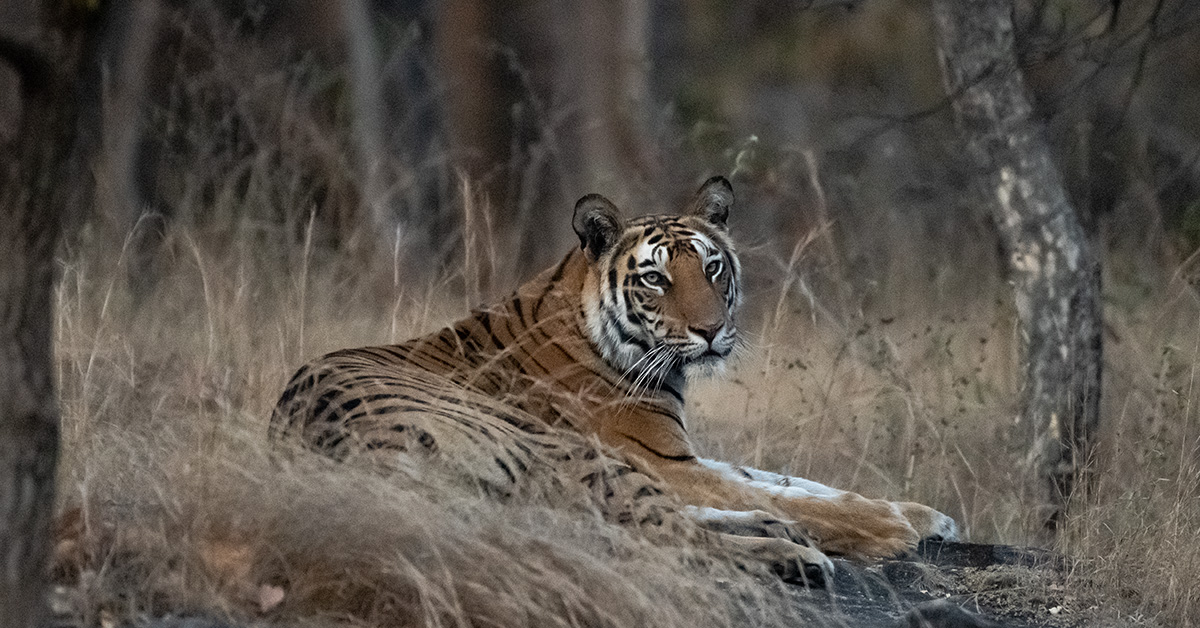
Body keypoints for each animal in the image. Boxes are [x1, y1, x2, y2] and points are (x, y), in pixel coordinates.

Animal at [270, 175, 955, 585]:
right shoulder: (662, 459)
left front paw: (924, 515)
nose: (712, 331)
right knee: (661, 536)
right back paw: (790, 554)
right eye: (655, 278)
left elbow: (794, 483)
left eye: (712, 267)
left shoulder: (683, 454)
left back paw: (774, 534)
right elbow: (783, 493)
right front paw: (893, 531)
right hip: (547, 447)